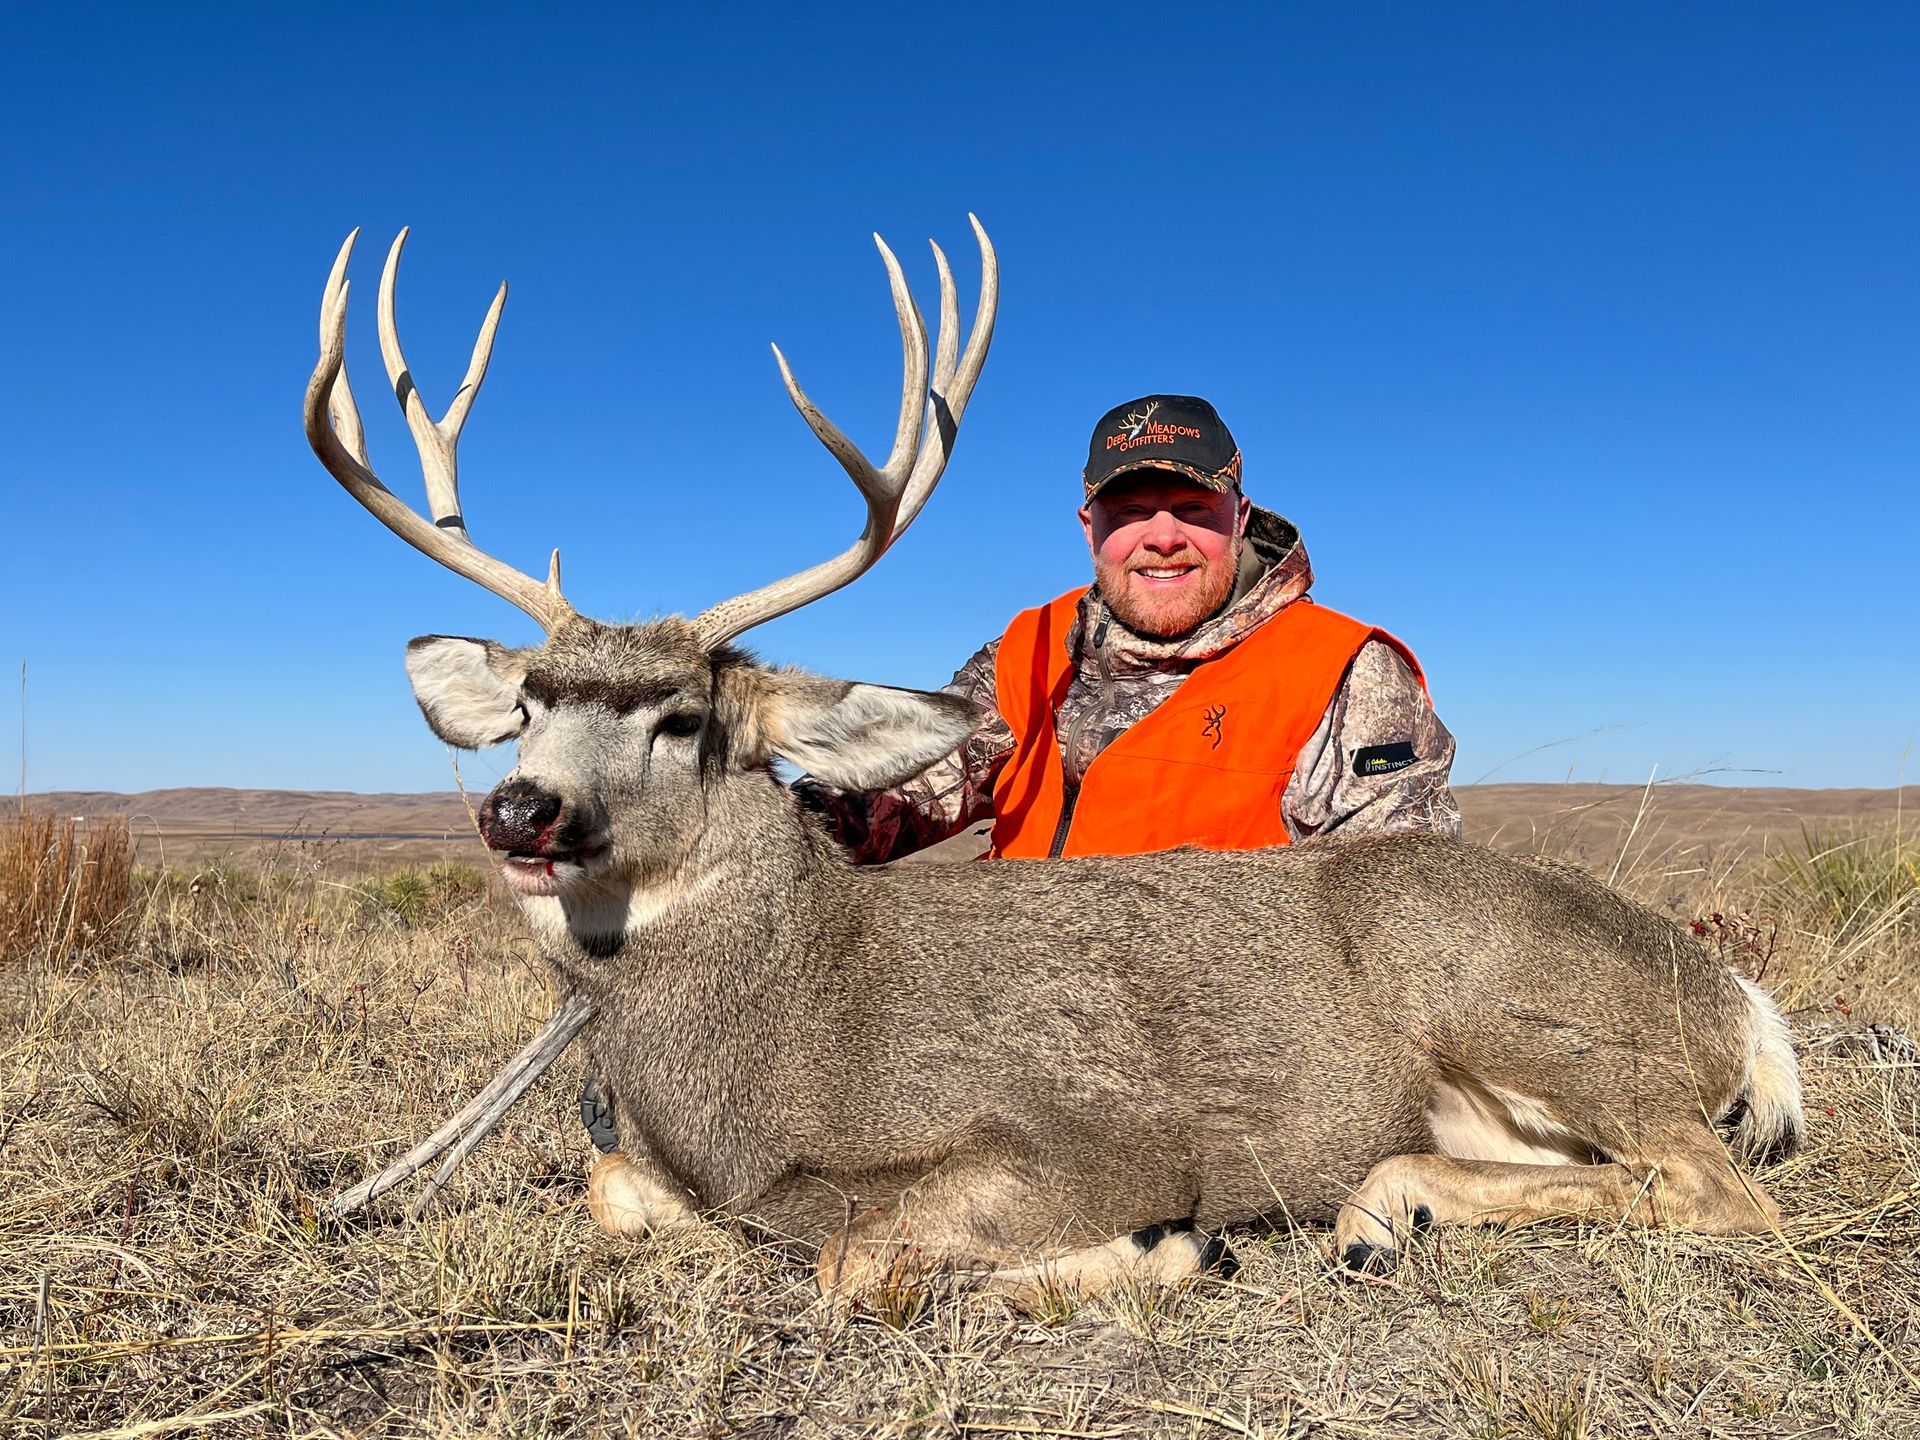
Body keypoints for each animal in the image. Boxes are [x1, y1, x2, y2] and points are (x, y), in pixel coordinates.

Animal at [304, 221, 1803, 1305]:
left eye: (681, 718)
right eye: (528, 703)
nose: (519, 811)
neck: (786, 1034)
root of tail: (1733, 993)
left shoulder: (1095, 1131)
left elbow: (858, 1264)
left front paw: (1154, 1251)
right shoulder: (668, 1171)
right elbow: (617, 1194)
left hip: (1513, 1000)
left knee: (1720, 1190)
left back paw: (1379, 1210)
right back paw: (1388, 1208)